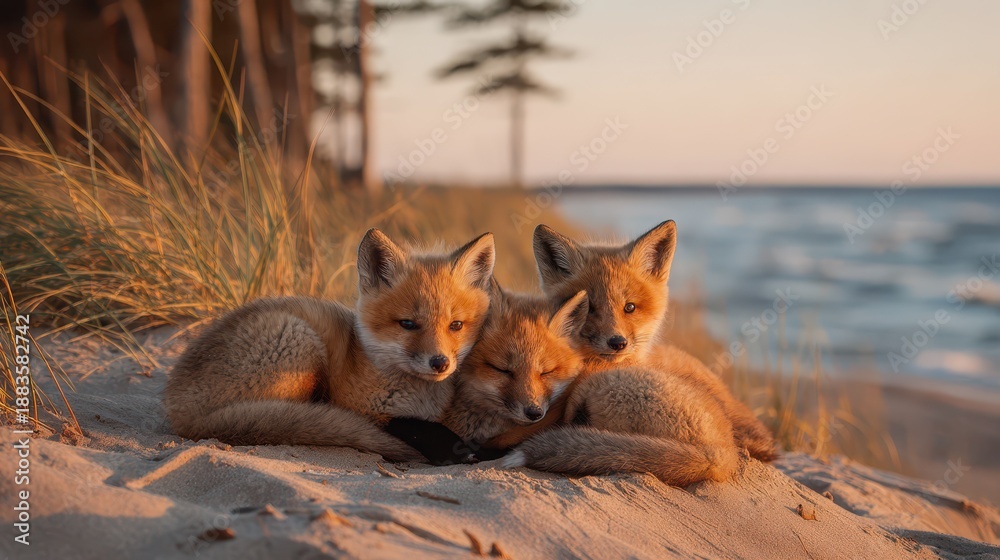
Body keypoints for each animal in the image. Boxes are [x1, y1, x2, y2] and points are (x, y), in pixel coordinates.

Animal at [164, 228, 496, 462]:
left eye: (456, 325)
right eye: (408, 324)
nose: (440, 363)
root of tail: (180, 410)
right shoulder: (365, 407)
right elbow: (413, 426)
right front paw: (457, 449)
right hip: (300, 344)